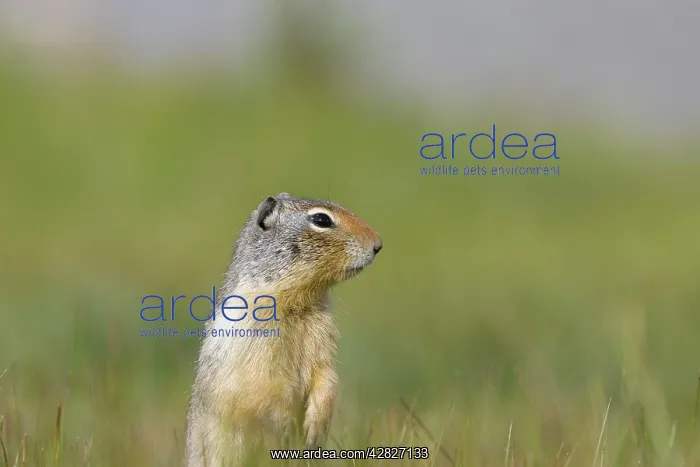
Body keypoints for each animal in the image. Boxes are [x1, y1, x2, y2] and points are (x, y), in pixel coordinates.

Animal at [185, 192, 382, 466]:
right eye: (321, 220)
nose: (378, 244)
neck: (298, 304)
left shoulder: (323, 337)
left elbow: (327, 376)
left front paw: (314, 427)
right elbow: (267, 388)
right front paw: (286, 423)